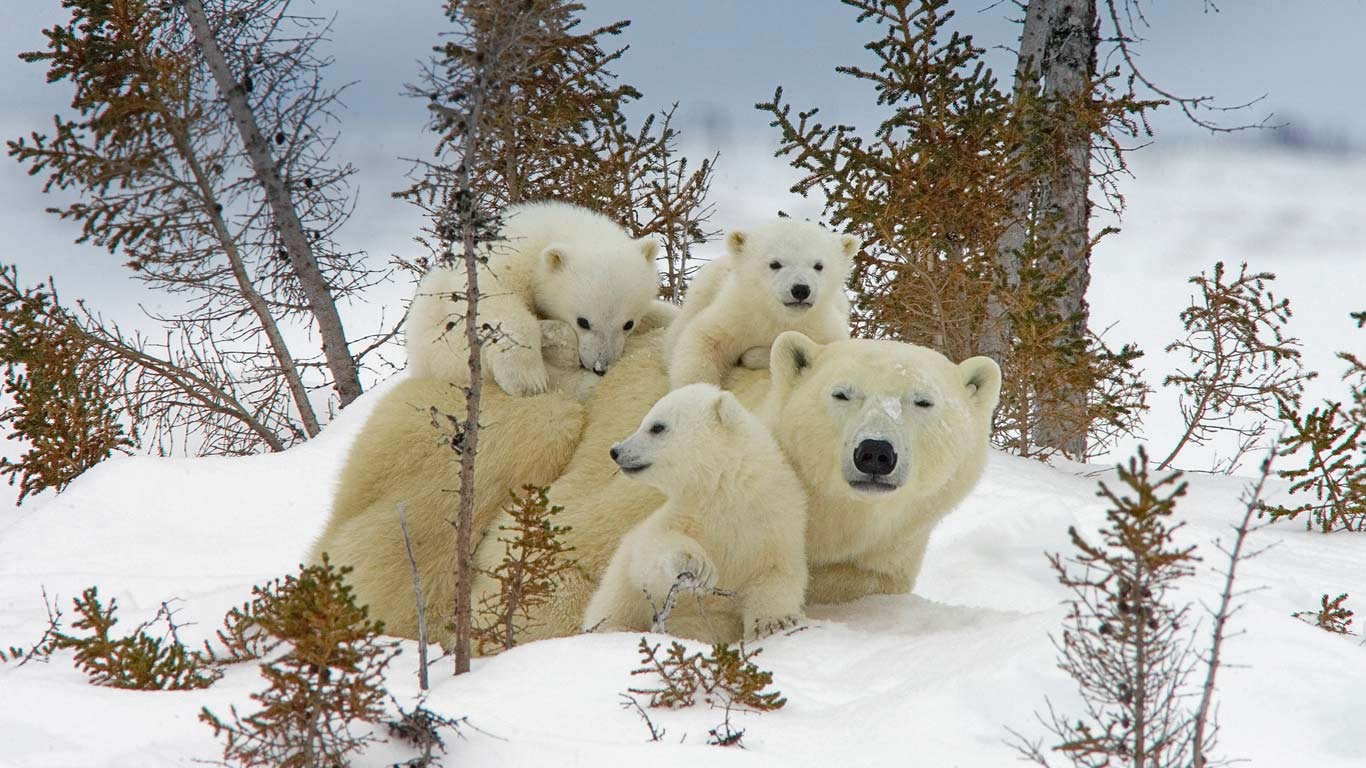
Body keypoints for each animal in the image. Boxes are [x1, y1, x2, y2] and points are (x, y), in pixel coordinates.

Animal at [405, 200, 676, 396]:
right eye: (583, 322)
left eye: (628, 324)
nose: (600, 367)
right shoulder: (499, 265)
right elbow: (494, 302)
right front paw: (527, 378)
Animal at [581, 383, 808, 641]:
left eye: (657, 427)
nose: (615, 450)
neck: (726, 492)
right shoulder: (687, 515)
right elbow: (649, 554)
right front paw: (697, 564)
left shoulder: (775, 521)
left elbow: (776, 573)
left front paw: (773, 623)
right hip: (618, 594)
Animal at [664, 218, 859, 389]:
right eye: (775, 263)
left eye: (818, 265)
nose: (801, 290)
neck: (777, 315)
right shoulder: (737, 315)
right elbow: (702, 340)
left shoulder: (822, 327)